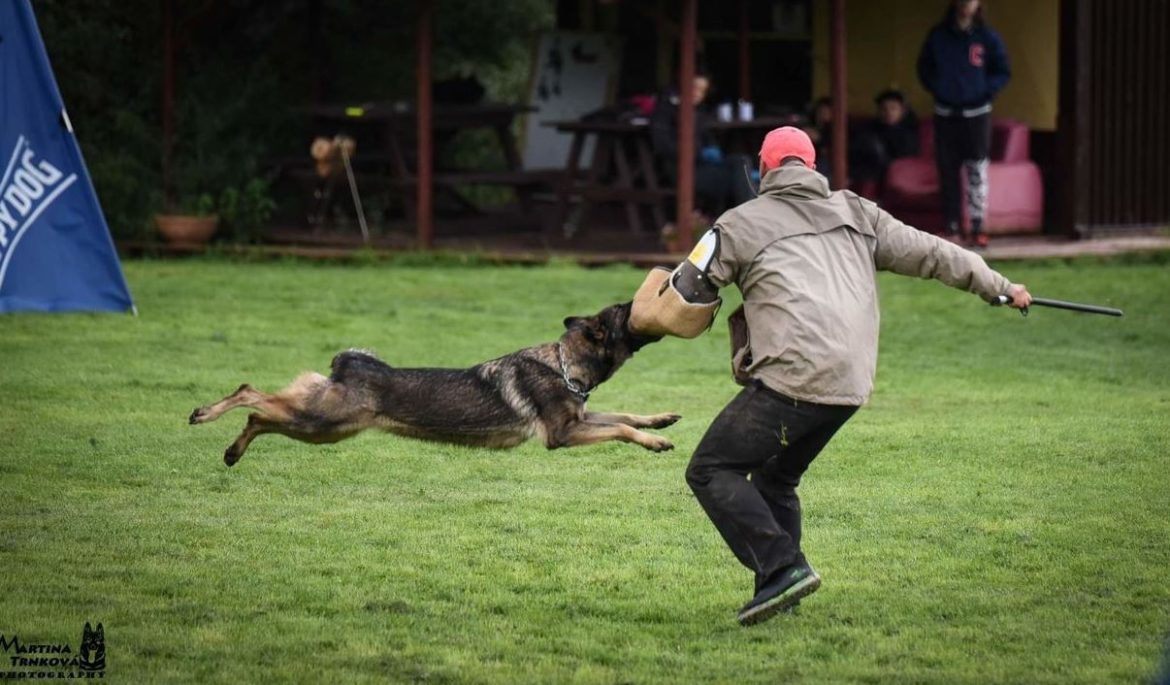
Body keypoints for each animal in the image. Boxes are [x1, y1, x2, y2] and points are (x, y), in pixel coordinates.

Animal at [188, 302, 683, 463]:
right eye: (624, 312)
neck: (564, 365)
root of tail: (350, 364)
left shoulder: (580, 416)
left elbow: (625, 414)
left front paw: (661, 421)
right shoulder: (562, 434)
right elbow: (620, 427)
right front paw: (655, 443)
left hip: (326, 428)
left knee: (259, 412)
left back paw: (231, 450)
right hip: (320, 421)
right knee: (252, 398)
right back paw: (206, 416)